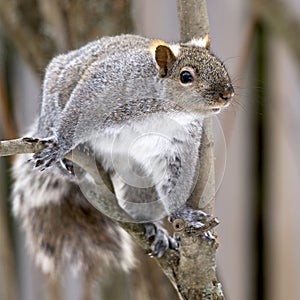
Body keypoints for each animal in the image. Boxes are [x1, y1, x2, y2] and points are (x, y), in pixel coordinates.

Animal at [11, 34, 233, 278]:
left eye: (221, 65)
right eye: (186, 76)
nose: (227, 94)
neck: (168, 111)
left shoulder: (179, 146)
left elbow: (175, 180)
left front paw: (183, 214)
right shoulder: (105, 89)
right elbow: (79, 111)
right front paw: (60, 145)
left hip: (140, 181)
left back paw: (153, 228)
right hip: (52, 108)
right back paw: (63, 160)